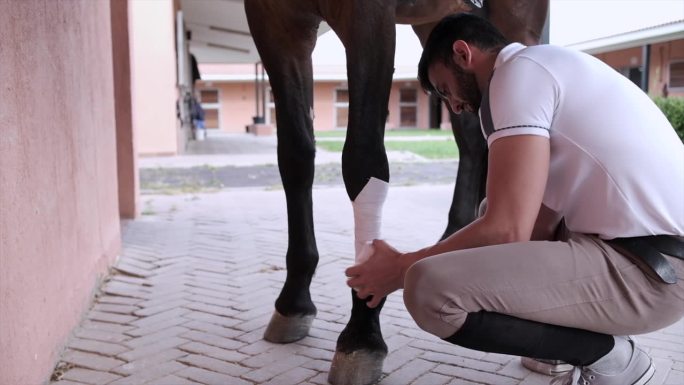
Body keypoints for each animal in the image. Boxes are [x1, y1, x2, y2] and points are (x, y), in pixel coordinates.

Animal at [243, 1, 548, 382]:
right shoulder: (274, 21)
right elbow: (295, 154)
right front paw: (294, 302)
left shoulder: (368, 15)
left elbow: (363, 157)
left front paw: (362, 329)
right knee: (473, 136)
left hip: (519, 22)